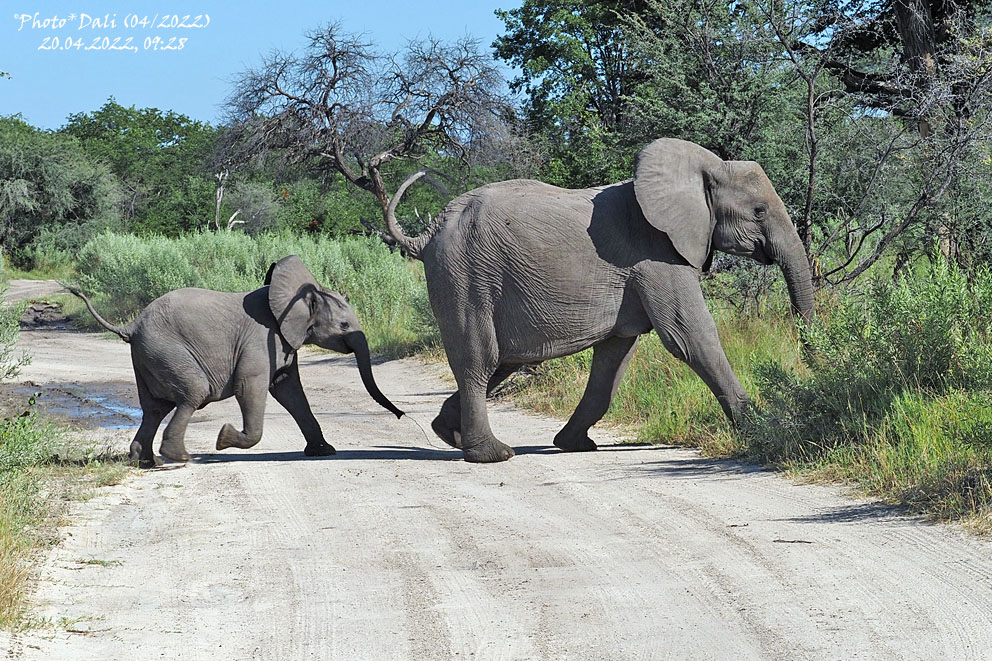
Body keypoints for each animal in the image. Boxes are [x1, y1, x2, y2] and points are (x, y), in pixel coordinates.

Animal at [69, 255, 404, 466]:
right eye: (344, 325)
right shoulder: (260, 340)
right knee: (193, 394)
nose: (401, 416)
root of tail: (131, 325)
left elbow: (290, 391)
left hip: (147, 356)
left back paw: (145, 462)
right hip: (165, 350)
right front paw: (223, 439)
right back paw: (180, 458)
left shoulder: (284, 343)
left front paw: (324, 453)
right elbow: (251, 388)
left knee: (154, 408)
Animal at [388, 137, 812, 462]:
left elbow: (615, 356)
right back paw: (492, 455)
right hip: (466, 275)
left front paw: (575, 446)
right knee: (480, 359)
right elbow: (689, 336)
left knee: (503, 360)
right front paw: (760, 429)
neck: (703, 169)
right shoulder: (657, 255)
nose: (811, 365)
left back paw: (447, 434)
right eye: (759, 211)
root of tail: (427, 233)